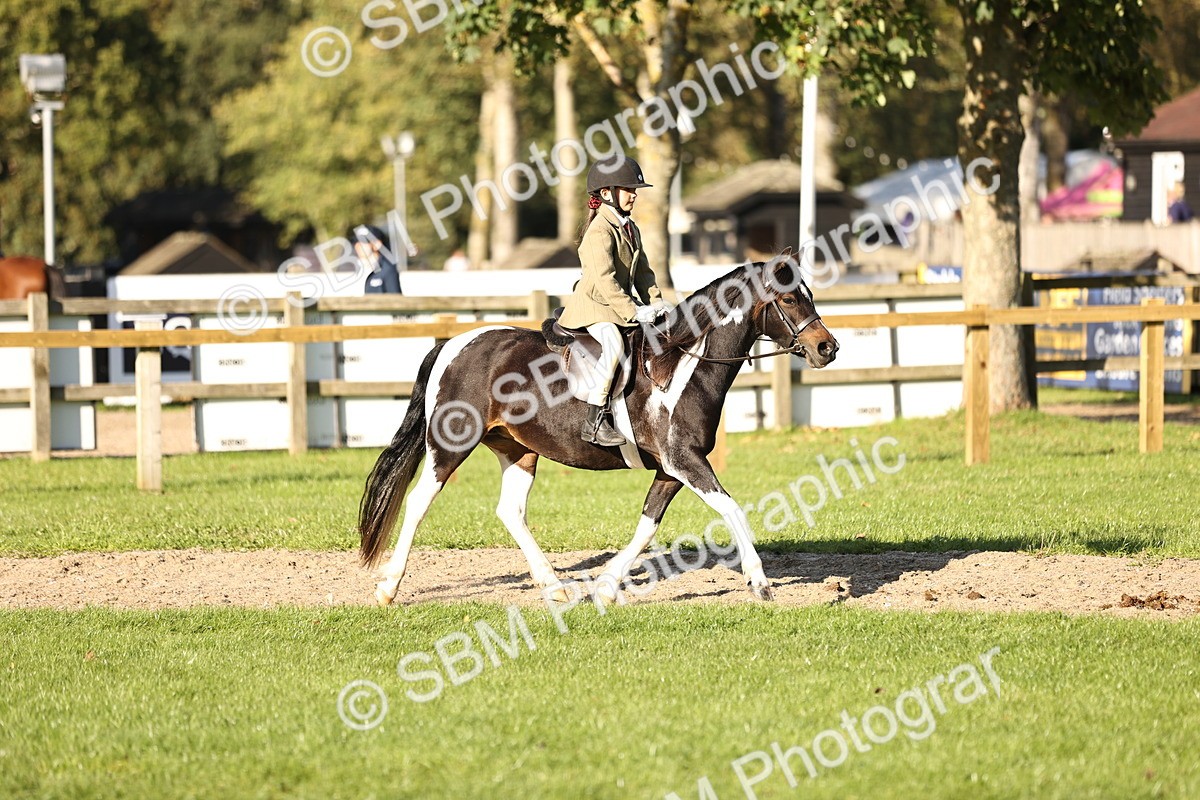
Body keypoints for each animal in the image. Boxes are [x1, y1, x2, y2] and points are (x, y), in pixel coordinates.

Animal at [358, 254, 840, 605]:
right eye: (791, 300)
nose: (827, 348)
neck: (681, 364)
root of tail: (452, 343)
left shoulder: (671, 469)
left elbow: (648, 525)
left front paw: (606, 587)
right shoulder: (686, 462)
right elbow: (732, 509)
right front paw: (760, 582)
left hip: (517, 449)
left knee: (511, 511)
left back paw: (554, 586)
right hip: (450, 444)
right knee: (420, 501)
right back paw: (388, 588)